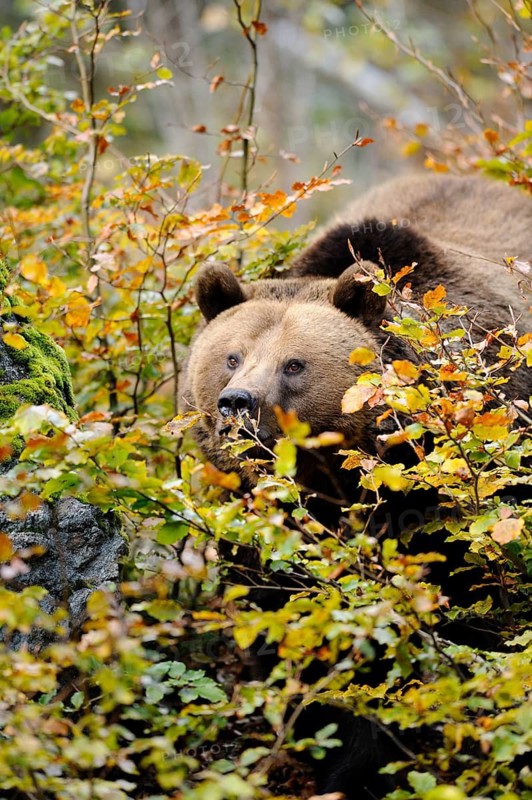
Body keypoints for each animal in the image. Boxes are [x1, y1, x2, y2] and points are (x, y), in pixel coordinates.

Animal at [180, 173, 531, 798]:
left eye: (294, 365)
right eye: (231, 357)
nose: (236, 405)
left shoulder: (454, 496)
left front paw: (367, 760)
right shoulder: (260, 518)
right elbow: (286, 613)